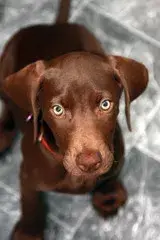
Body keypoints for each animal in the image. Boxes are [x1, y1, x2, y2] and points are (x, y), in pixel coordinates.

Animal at [0, 0, 148, 240]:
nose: (89, 163)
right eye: (57, 110)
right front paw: (29, 232)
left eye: (105, 104)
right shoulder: (27, 174)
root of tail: (51, 27)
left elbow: (112, 173)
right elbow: (30, 202)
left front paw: (108, 195)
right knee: (7, 104)